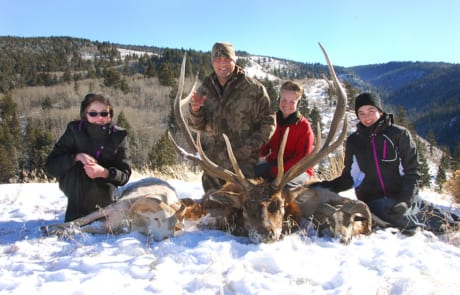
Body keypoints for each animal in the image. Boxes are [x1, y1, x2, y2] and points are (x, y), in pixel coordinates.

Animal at [41, 178, 185, 243]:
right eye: (156, 219)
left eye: (173, 224)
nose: (167, 238)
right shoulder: (109, 209)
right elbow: (80, 221)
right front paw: (49, 228)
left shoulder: (110, 227)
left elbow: (86, 229)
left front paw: (57, 231)